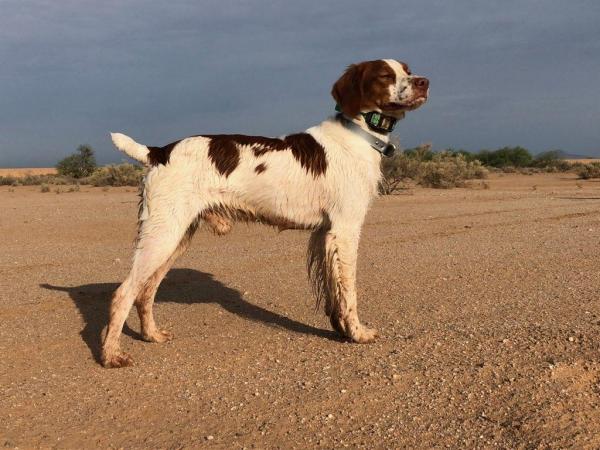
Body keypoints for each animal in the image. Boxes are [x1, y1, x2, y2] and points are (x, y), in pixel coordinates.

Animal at [102, 59, 428, 368]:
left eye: (407, 69)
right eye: (385, 75)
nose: (424, 82)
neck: (358, 133)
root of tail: (159, 152)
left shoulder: (325, 233)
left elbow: (332, 291)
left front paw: (341, 331)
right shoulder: (345, 229)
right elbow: (349, 291)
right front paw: (358, 333)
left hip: (176, 236)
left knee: (146, 291)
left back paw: (151, 335)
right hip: (163, 233)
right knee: (124, 292)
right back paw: (111, 355)